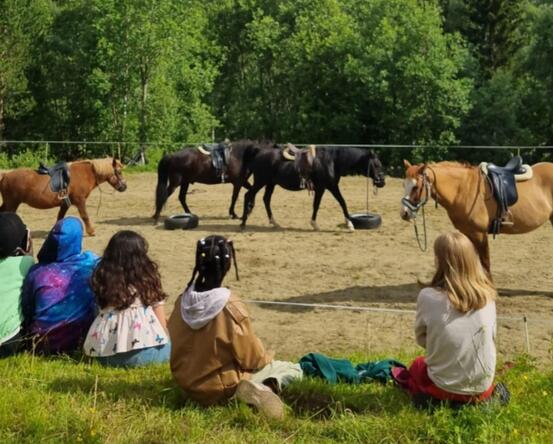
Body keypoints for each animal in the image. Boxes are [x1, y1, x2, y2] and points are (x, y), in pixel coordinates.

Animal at [239, 147, 386, 231]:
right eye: (377, 164)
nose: (382, 182)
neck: (332, 161)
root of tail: (258, 153)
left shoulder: (332, 186)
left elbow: (342, 202)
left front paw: (349, 224)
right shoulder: (322, 188)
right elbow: (317, 205)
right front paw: (314, 224)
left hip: (270, 183)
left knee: (266, 199)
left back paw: (274, 223)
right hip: (260, 182)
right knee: (248, 195)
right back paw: (243, 224)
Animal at [398, 160, 552, 270]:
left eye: (416, 187)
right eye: (403, 184)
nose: (404, 213)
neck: (463, 190)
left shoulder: (480, 234)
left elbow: (485, 263)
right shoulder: (468, 233)